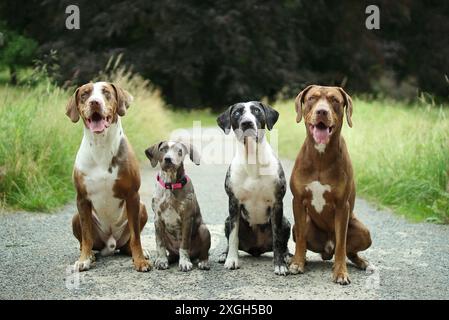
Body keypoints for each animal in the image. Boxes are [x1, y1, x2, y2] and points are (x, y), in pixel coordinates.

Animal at [65, 82, 150, 272]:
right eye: (85, 94)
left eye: (106, 93)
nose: (95, 102)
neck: (101, 146)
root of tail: (111, 244)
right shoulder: (82, 199)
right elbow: (86, 236)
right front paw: (83, 260)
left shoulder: (133, 196)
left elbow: (136, 237)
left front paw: (140, 260)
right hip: (76, 217)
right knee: (86, 241)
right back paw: (90, 255)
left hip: (141, 208)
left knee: (128, 242)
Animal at [216, 100, 290, 276]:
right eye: (237, 113)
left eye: (256, 111)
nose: (247, 123)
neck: (252, 159)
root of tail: (257, 249)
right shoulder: (233, 203)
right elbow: (233, 236)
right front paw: (231, 260)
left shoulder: (277, 204)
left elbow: (278, 239)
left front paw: (280, 264)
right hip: (227, 220)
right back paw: (224, 254)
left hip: (286, 222)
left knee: (283, 243)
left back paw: (287, 255)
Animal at [290, 85, 372, 284]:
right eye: (312, 98)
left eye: (335, 100)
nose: (322, 111)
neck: (321, 156)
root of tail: (326, 251)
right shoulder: (298, 201)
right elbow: (301, 238)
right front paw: (297, 263)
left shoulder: (342, 206)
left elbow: (341, 244)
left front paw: (341, 272)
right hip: (301, 224)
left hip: (364, 232)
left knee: (349, 250)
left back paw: (361, 262)